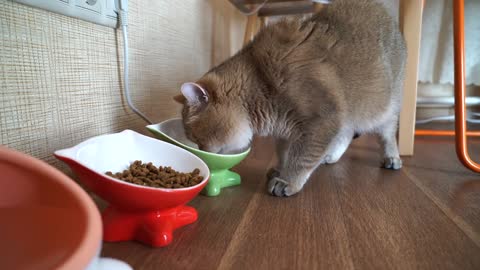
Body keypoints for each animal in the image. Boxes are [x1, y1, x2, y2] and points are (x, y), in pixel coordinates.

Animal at [172, 0, 404, 198]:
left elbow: (301, 158)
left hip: (384, 109)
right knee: (347, 133)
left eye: (197, 137)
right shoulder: (287, 131)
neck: (260, 79)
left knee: (387, 133)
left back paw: (392, 158)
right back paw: (331, 156)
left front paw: (288, 181)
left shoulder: (321, 121)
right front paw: (280, 170)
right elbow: (284, 153)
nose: (202, 154)